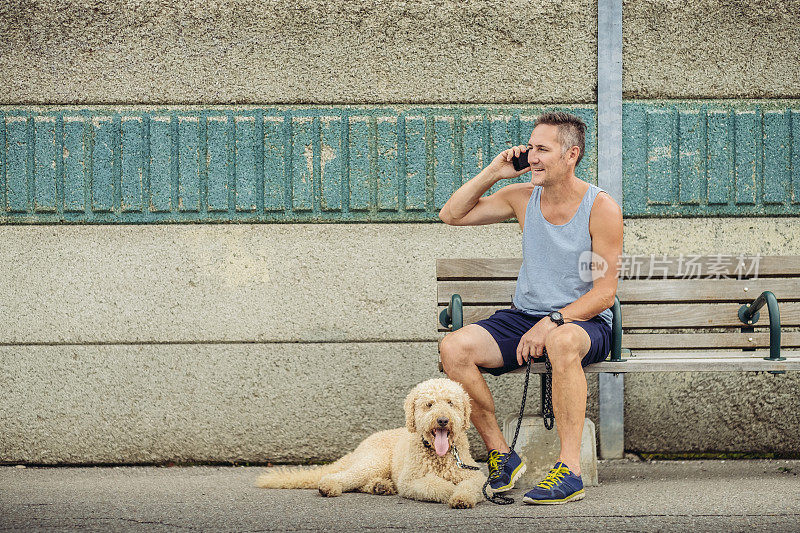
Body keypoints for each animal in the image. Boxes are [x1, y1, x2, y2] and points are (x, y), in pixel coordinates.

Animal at [256, 374, 484, 508]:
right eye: (429, 404)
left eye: (451, 403)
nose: (443, 420)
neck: (441, 456)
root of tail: (360, 447)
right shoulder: (411, 480)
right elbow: (437, 485)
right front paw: (452, 492)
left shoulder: (473, 475)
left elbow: (470, 486)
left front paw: (462, 497)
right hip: (375, 461)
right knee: (342, 477)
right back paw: (330, 486)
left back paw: (379, 486)